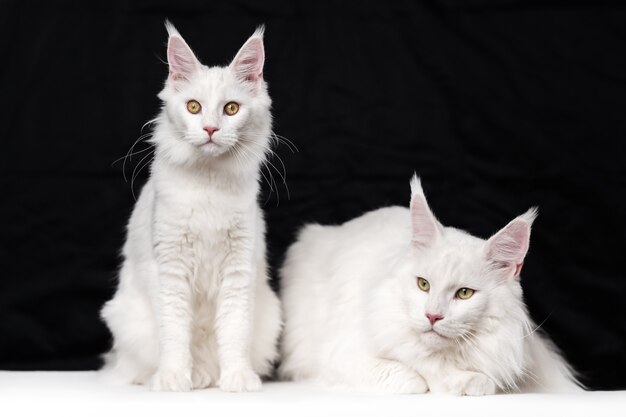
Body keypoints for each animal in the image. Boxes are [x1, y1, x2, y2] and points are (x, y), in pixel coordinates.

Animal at [100, 22, 280, 392]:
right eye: (194, 107)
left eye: (231, 109)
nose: (210, 129)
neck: (209, 183)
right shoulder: (171, 269)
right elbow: (175, 334)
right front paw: (174, 377)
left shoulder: (239, 266)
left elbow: (234, 331)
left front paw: (237, 377)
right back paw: (195, 376)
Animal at [278, 174, 580, 394]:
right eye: (423, 285)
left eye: (464, 293)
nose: (432, 316)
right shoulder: (336, 358)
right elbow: (413, 379)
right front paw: (431, 380)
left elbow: (481, 382)